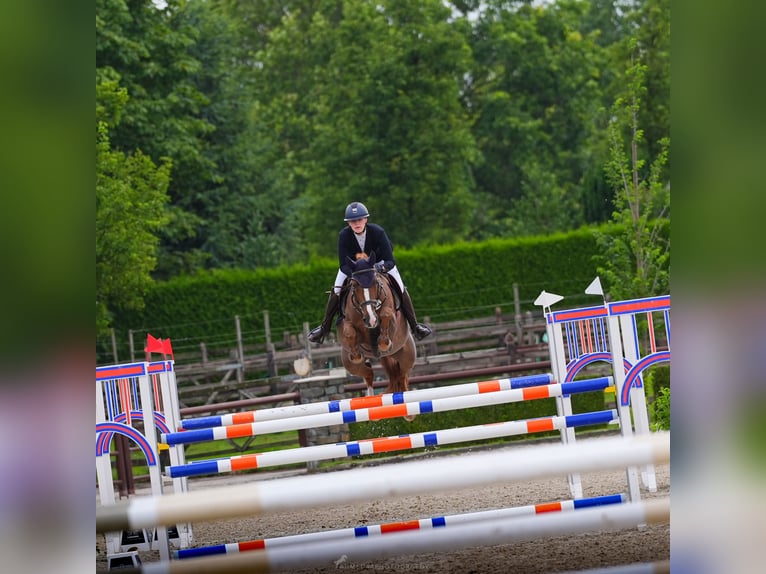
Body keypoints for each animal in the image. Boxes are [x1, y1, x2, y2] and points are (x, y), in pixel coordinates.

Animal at [340, 252, 416, 404]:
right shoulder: (349, 323)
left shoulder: (393, 320)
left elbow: (386, 314)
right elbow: (349, 331)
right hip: (350, 364)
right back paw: (369, 398)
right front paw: (356, 353)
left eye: (375, 282)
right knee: (369, 373)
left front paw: (383, 343)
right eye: (354, 285)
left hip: (407, 356)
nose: (371, 319)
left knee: (401, 374)